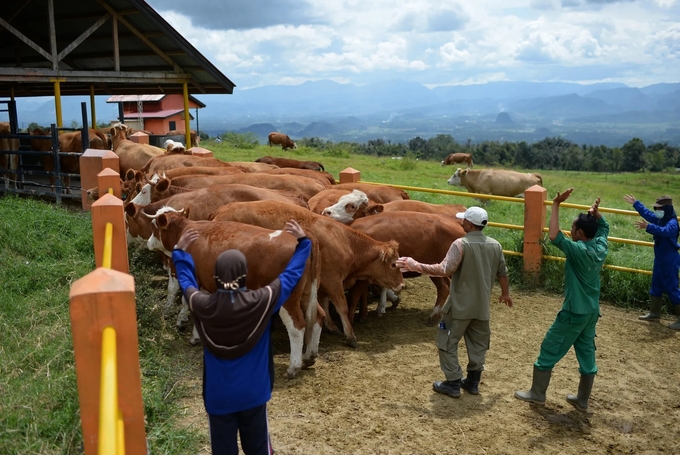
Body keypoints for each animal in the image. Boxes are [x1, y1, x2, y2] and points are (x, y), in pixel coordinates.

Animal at [211, 201, 404, 348]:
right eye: (394, 264)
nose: (402, 284)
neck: (344, 240)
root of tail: (221, 212)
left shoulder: (323, 284)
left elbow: (324, 304)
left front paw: (331, 326)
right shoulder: (332, 280)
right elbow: (341, 306)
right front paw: (350, 335)